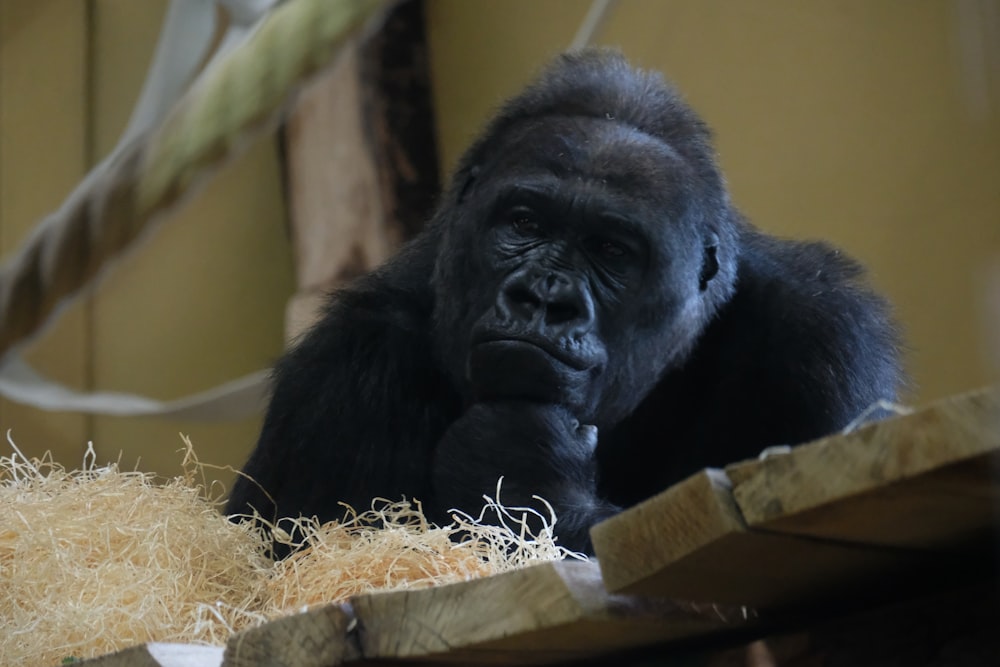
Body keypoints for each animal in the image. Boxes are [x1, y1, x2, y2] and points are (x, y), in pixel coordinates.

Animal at [225, 49, 900, 556]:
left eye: (611, 251)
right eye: (525, 222)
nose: (544, 299)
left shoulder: (826, 339)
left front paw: (525, 471)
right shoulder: (339, 374)